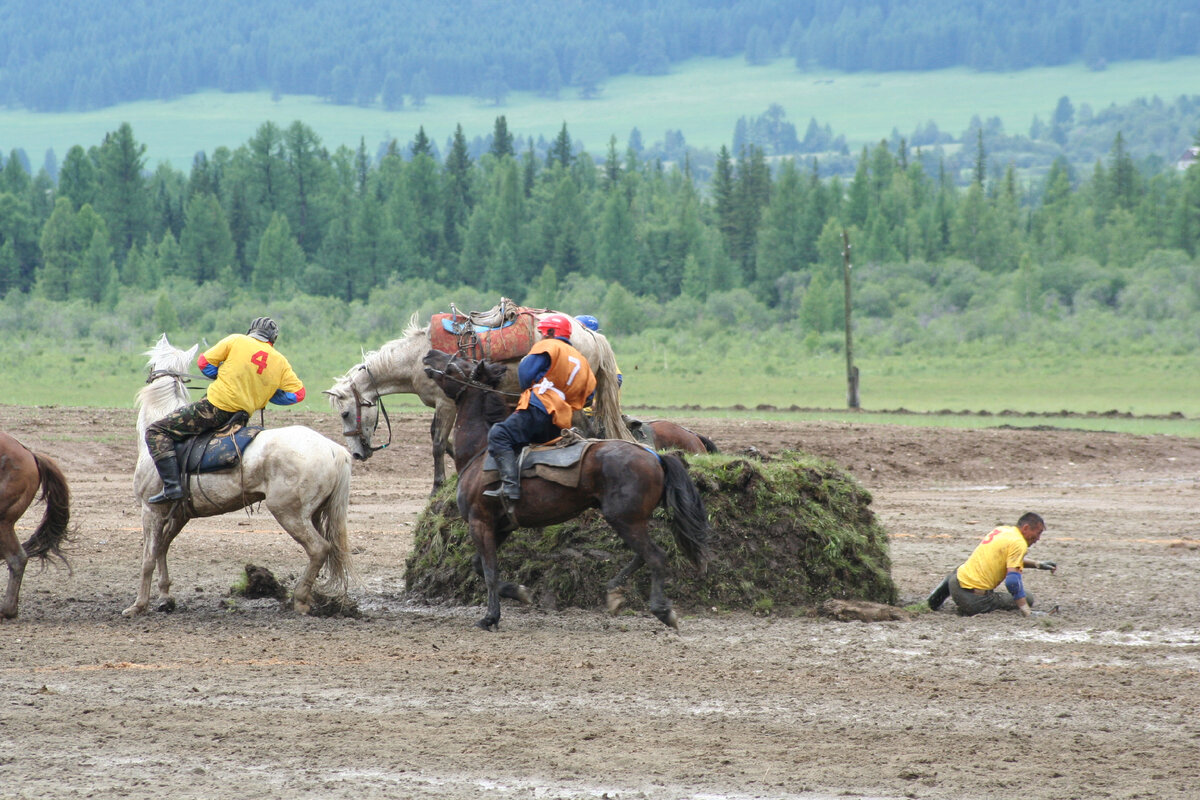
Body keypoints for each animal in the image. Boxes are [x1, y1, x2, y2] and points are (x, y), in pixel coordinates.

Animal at [126, 335, 352, 618]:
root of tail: (334, 449)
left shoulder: (151, 510)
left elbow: (148, 557)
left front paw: (138, 605)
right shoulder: (179, 514)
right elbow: (162, 548)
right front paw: (166, 597)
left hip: (289, 513)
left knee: (318, 549)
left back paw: (300, 599)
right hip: (314, 514)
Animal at [328, 309, 628, 491]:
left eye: (345, 414)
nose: (357, 453)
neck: (416, 358)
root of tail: (590, 334)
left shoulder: (446, 403)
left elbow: (438, 444)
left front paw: (437, 486)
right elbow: (444, 442)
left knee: (589, 430)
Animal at [422, 350, 705, 633]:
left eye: (457, 364)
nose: (429, 354)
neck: (481, 450)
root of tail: (655, 457)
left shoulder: (479, 522)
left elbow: (490, 572)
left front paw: (491, 617)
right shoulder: (500, 525)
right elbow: (479, 566)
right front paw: (519, 592)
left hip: (624, 519)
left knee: (655, 557)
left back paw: (662, 610)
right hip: (631, 520)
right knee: (642, 556)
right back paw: (614, 591)